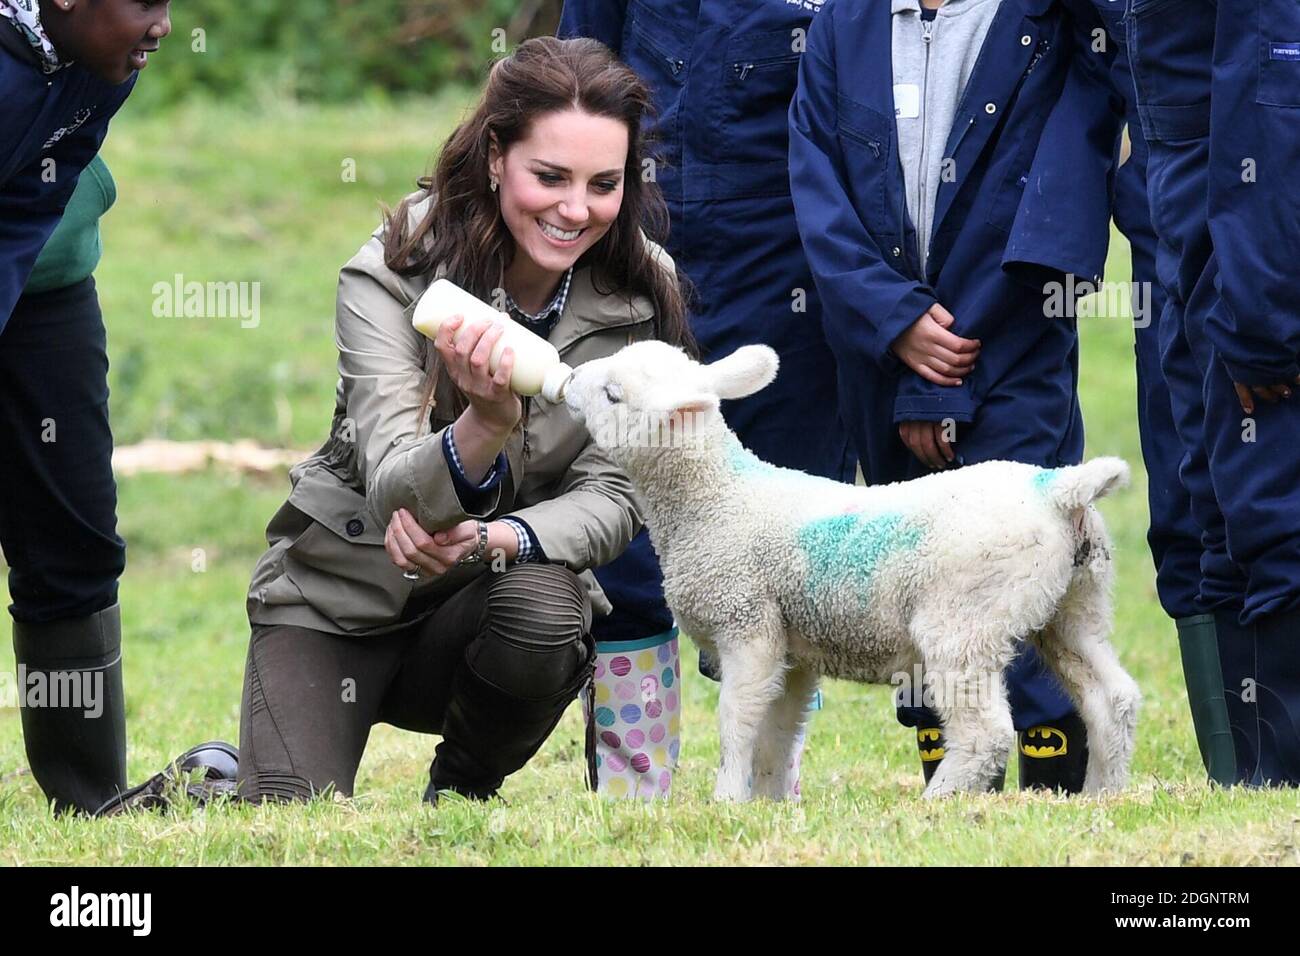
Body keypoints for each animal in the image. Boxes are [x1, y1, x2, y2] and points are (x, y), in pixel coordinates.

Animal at [564, 340, 1144, 806]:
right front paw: (770, 804)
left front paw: (727, 800)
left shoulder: (747, 625)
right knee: (1110, 697)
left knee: (987, 731)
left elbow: (738, 724)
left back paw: (936, 801)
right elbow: (777, 733)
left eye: (612, 394)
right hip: (1074, 601)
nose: (569, 379)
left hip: (964, 619)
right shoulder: (792, 647)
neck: (717, 499)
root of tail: (1059, 490)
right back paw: (1102, 796)